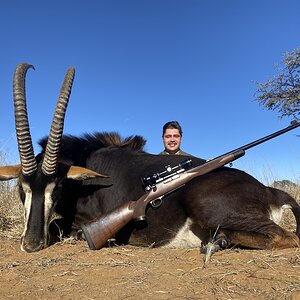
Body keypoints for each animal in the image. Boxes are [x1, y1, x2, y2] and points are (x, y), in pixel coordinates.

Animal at [0, 63, 300, 253]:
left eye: (58, 187)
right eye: (21, 188)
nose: (31, 244)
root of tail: (269, 191)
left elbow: (62, 226)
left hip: (205, 202)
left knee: (285, 236)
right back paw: (219, 241)